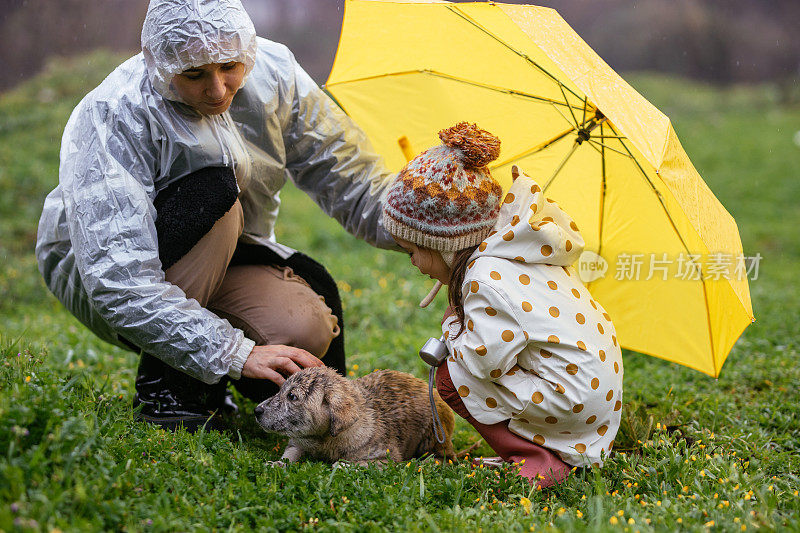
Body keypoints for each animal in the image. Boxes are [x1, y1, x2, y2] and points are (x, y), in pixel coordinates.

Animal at [256, 366, 456, 462]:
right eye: (280, 389)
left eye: (292, 396)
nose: (256, 410)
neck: (324, 440)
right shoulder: (298, 442)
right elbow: (290, 454)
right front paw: (277, 464)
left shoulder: (384, 457)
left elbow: (345, 463)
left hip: (433, 434)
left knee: (446, 457)